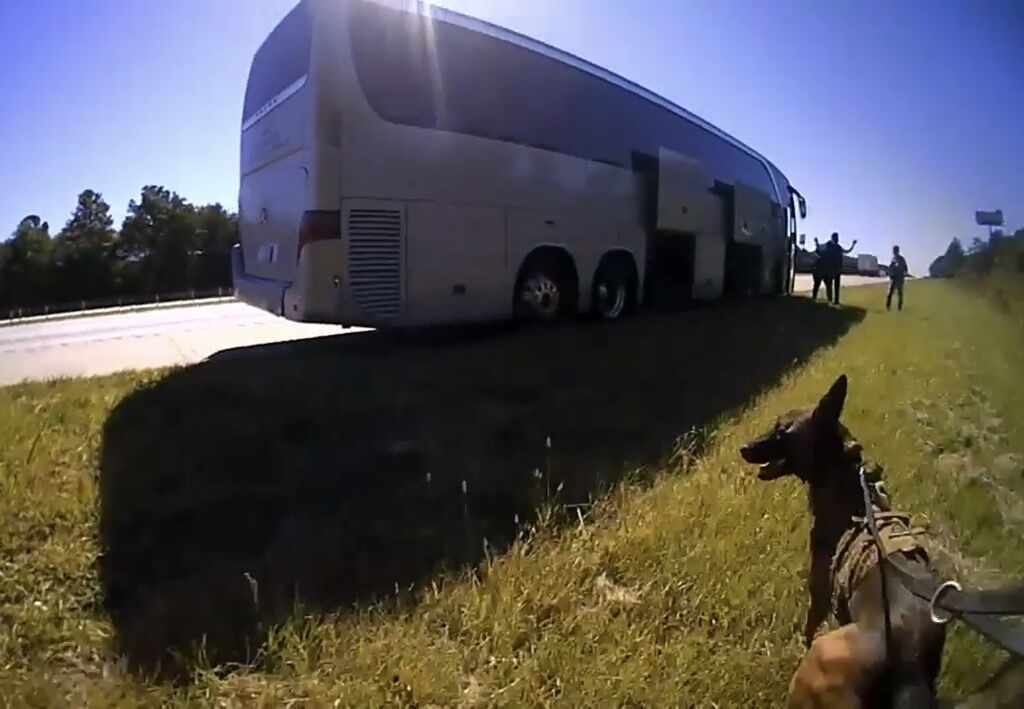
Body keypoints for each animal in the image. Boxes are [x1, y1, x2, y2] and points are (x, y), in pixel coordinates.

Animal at [737, 372, 942, 704]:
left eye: (782, 431)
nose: (743, 447)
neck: (843, 480)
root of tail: (907, 663)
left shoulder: (818, 596)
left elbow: (807, 629)